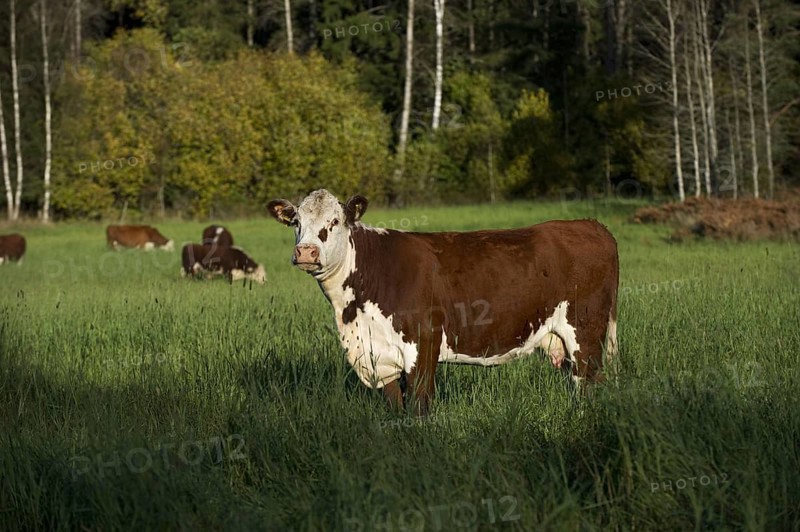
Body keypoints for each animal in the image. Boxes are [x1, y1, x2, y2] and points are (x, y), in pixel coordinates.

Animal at [267, 189, 619, 416]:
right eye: (296, 222)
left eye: (335, 222)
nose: (306, 252)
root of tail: (590, 224)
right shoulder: (379, 357)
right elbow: (395, 406)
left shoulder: (424, 342)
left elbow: (419, 404)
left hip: (585, 333)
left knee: (591, 382)